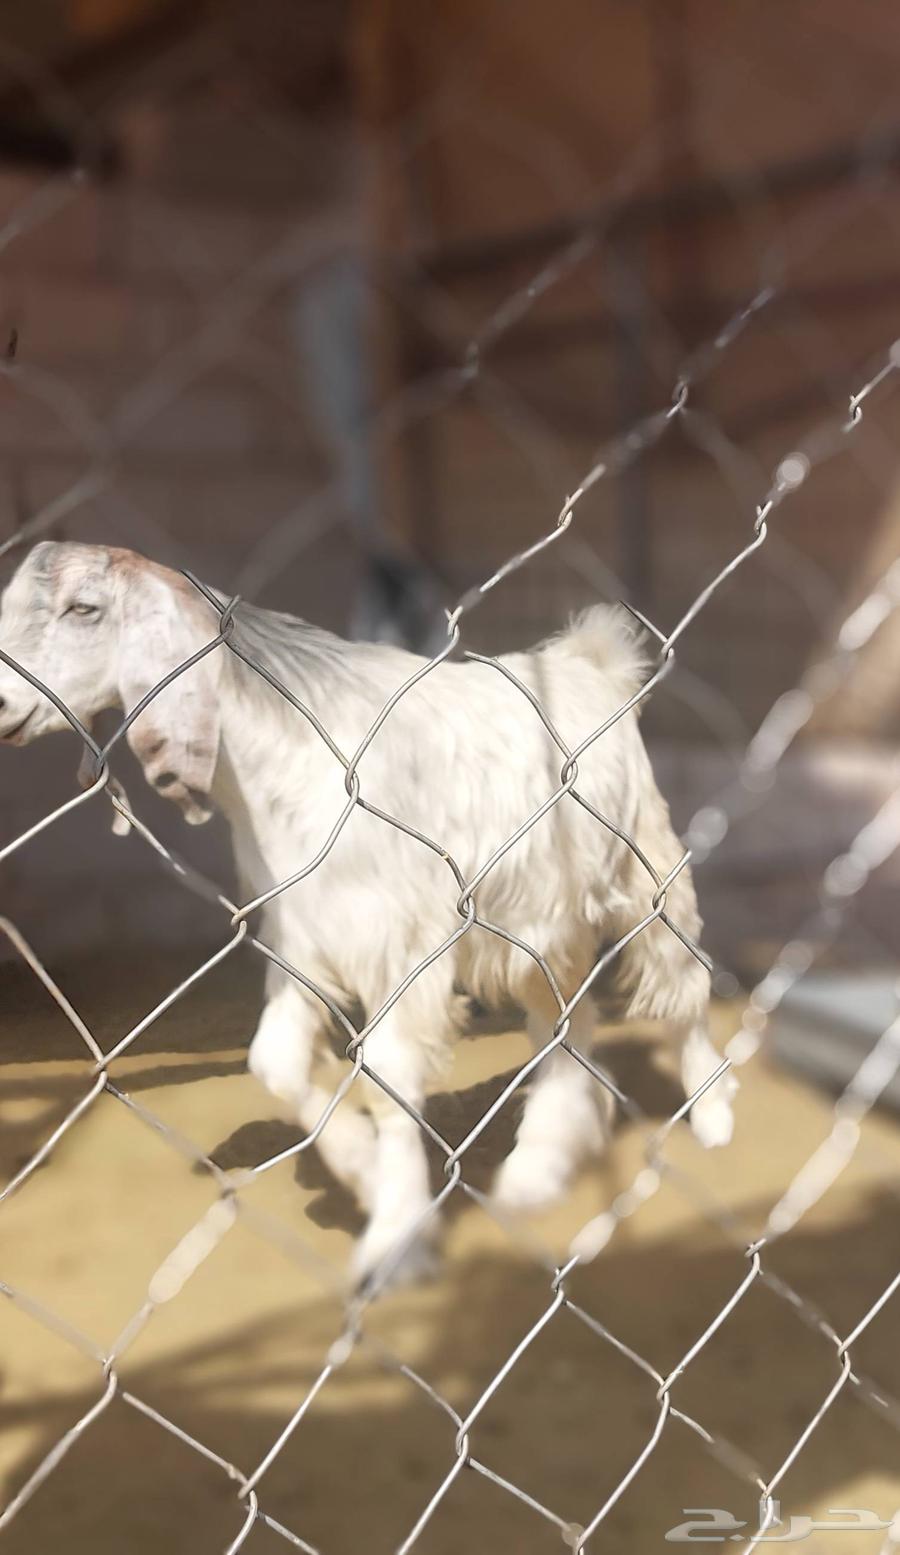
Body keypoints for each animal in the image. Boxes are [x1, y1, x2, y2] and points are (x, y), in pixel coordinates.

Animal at [0, 542, 736, 1283]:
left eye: (84, 608)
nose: (2, 704)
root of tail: (587, 663)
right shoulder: (301, 932)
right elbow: (274, 1062)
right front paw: (359, 1167)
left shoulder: (399, 944)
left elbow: (387, 1077)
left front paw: (397, 1236)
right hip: (536, 921)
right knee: (561, 1022)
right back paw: (540, 1166)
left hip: (646, 866)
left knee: (681, 983)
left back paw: (711, 1117)